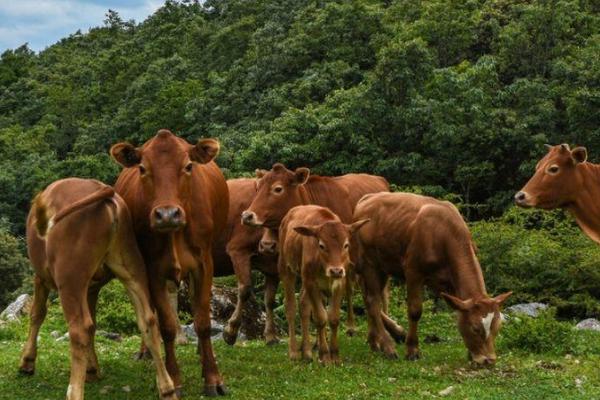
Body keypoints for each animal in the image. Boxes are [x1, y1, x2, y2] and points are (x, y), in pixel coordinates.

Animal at [21, 179, 176, 400]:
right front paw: (92, 368)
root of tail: (102, 189)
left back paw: (74, 391)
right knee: (148, 320)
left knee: (79, 328)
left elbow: (37, 314)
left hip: (70, 278)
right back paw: (167, 387)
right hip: (131, 264)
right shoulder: (91, 288)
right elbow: (93, 324)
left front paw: (27, 361)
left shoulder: (41, 277)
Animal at [110, 129, 230, 396]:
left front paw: (213, 378)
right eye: (143, 168)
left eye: (188, 166)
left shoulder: (204, 264)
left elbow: (203, 321)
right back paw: (146, 351)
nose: (166, 215)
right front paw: (173, 379)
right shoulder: (153, 268)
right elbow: (165, 326)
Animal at [278, 205, 370, 364]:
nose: (336, 270)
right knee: (290, 306)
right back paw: (294, 351)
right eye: (321, 245)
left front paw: (335, 355)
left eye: (346, 245)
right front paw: (325, 355)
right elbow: (320, 318)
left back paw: (307, 352)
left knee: (303, 304)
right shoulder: (311, 282)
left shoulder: (339, 282)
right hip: (286, 268)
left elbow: (333, 318)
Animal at [354, 192, 512, 364]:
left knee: (368, 298)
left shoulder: (451, 282)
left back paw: (375, 342)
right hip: (369, 263)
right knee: (373, 301)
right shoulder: (413, 271)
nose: (489, 360)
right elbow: (415, 310)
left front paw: (470, 354)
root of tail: (367, 198)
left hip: (383, 266)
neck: (443, 233)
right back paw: (388, 346)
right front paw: (412, 350)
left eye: (497, 327)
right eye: (475, 328)